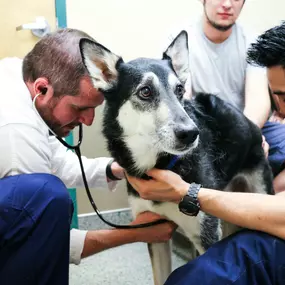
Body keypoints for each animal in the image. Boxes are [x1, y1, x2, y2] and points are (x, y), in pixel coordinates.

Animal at [78, 31, 272, 284]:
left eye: (180, 90)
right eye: (145, 91)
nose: (191, 133)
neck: (159, 163)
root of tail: (248, 122)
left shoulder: (206, 235)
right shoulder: (154, 233)